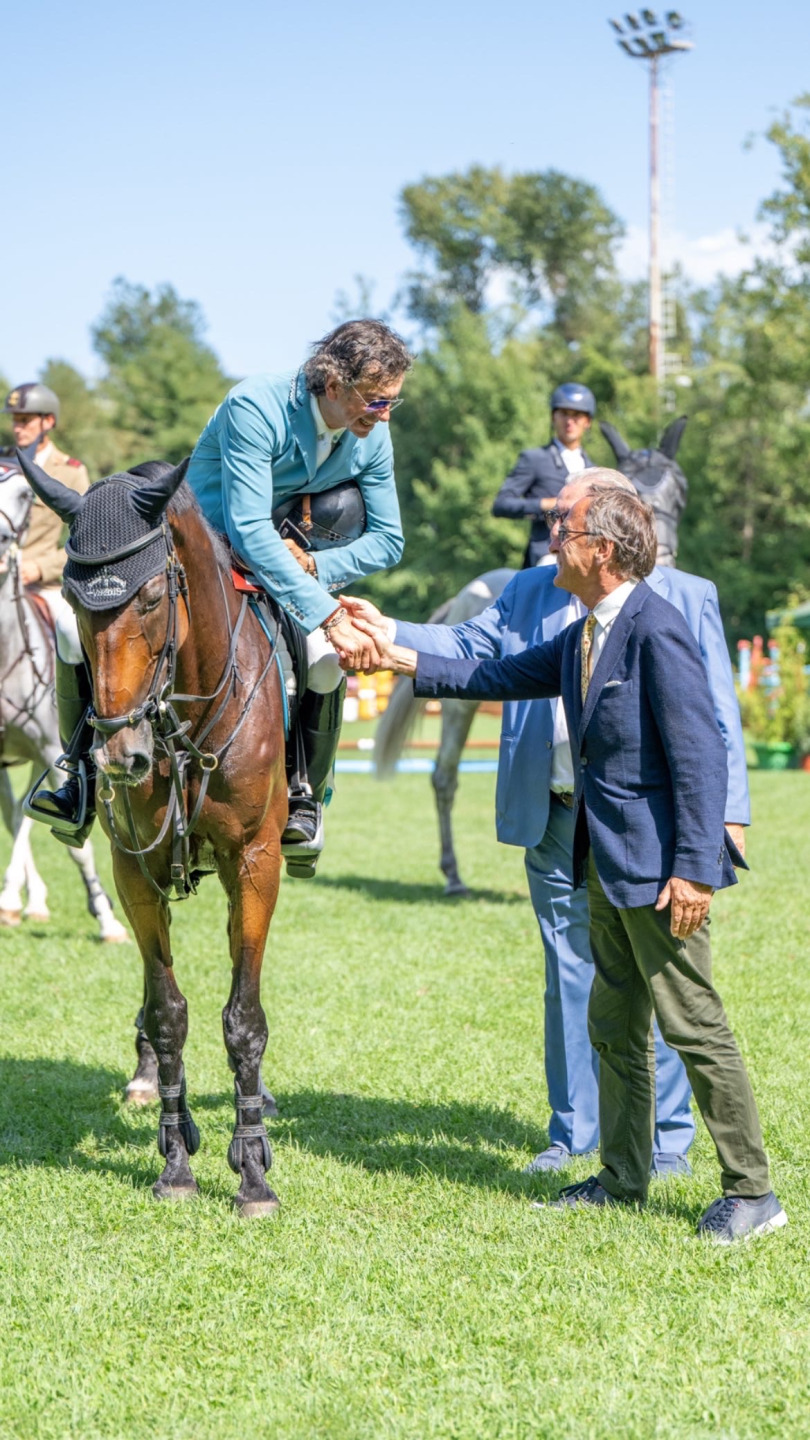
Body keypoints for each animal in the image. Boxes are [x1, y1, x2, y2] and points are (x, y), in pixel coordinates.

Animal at [0, 463, 126, 944]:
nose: (2, 538)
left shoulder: (52, 752)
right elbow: (18, 819)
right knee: (16, 814)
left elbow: (75, 845)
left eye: (24, 494)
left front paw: (106, 918)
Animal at [18, 452, 289, 1215]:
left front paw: (253, 1170)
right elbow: (167, 1011)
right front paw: (175, 1162)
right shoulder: (132, 869)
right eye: (74, 603)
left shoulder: (254, 862)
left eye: (147, 599)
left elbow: (243, 1015)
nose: (119, 756)